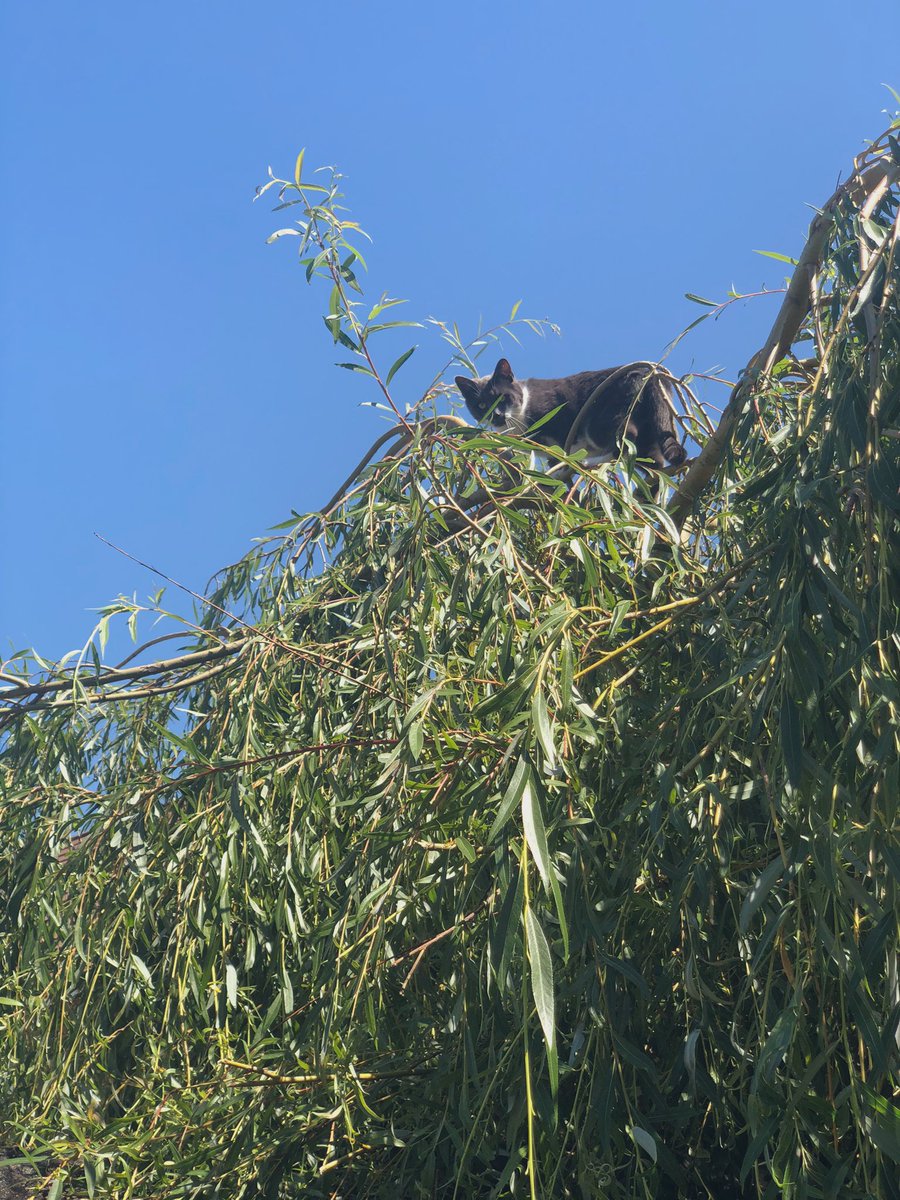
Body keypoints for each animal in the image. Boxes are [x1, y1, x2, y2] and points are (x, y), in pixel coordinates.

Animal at [453, 355, 686, 468]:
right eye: (481, 406)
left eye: (502, 397)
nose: (497, 415)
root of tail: (651, 374)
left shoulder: (559, 414)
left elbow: (563, 446)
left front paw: (568, 461)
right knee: (653, 459)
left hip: (603, 417)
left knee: (627, 435)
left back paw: (595, 461)